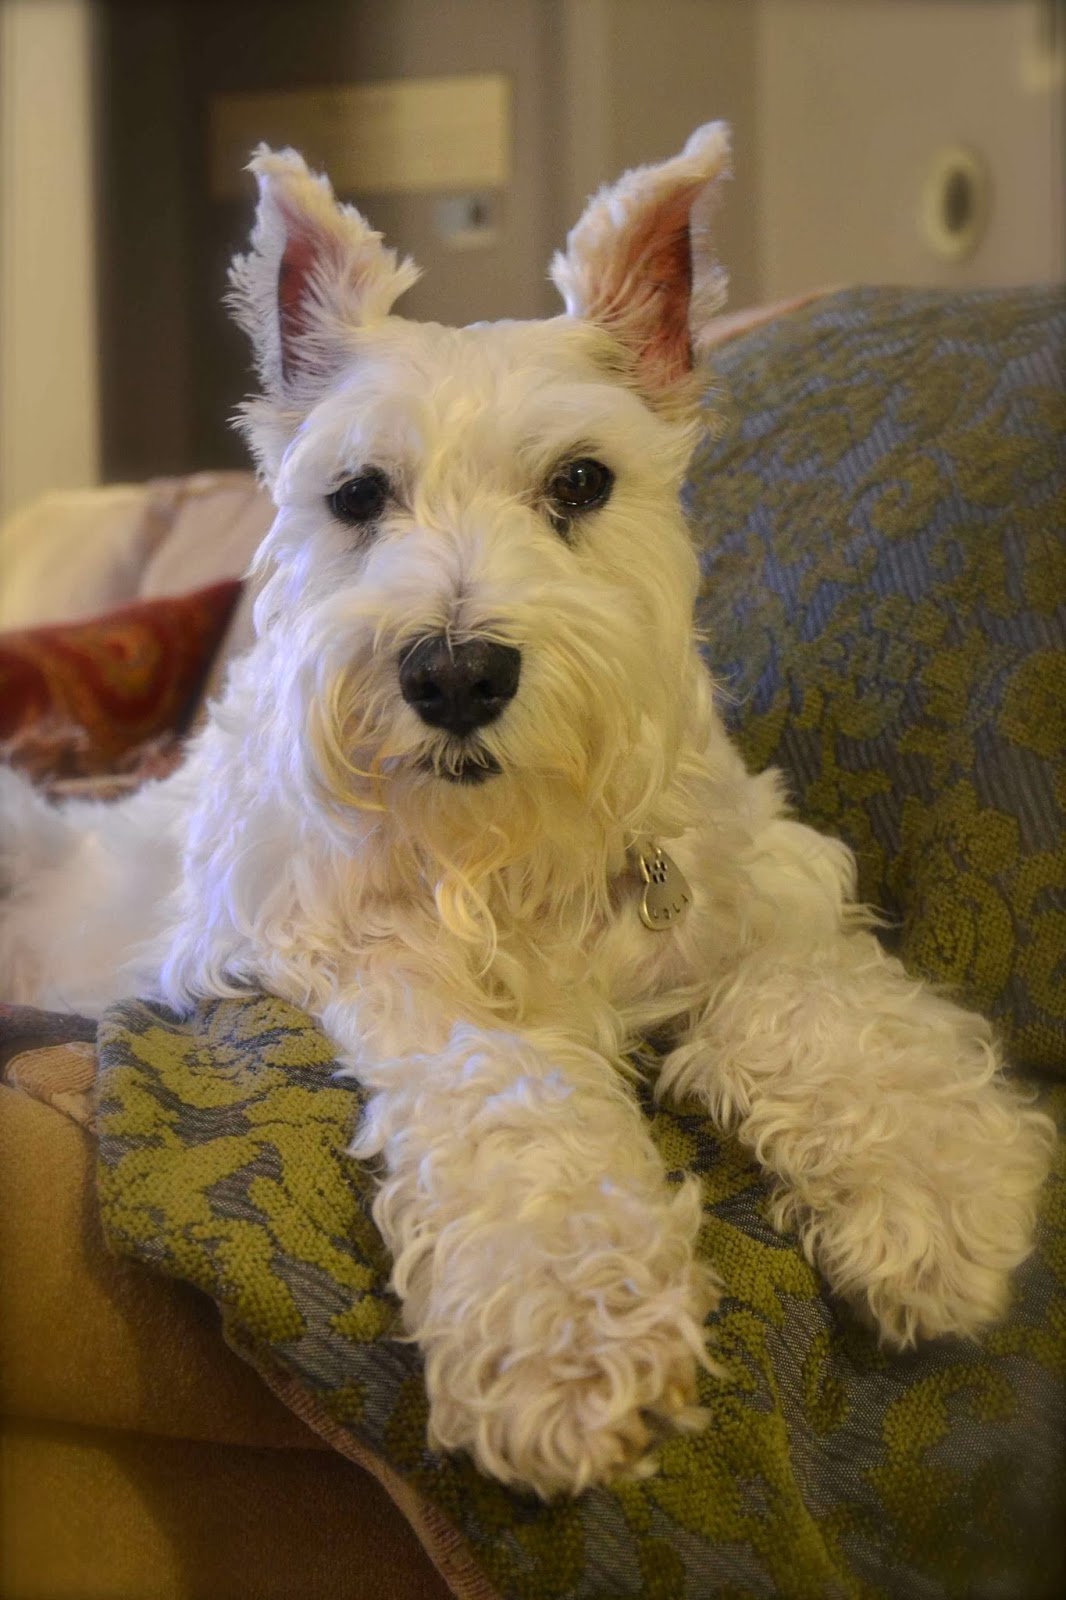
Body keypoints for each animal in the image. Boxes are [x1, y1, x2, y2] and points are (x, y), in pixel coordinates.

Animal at [1, 124, 1054, 1498]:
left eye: (582, 480)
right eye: (357, 494)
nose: (455, 676)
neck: (509, 849)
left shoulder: (747, 904)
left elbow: (817, 1002)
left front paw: (937, 1192)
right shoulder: (377, 963)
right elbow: (510, 1099)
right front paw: (571, 1331)